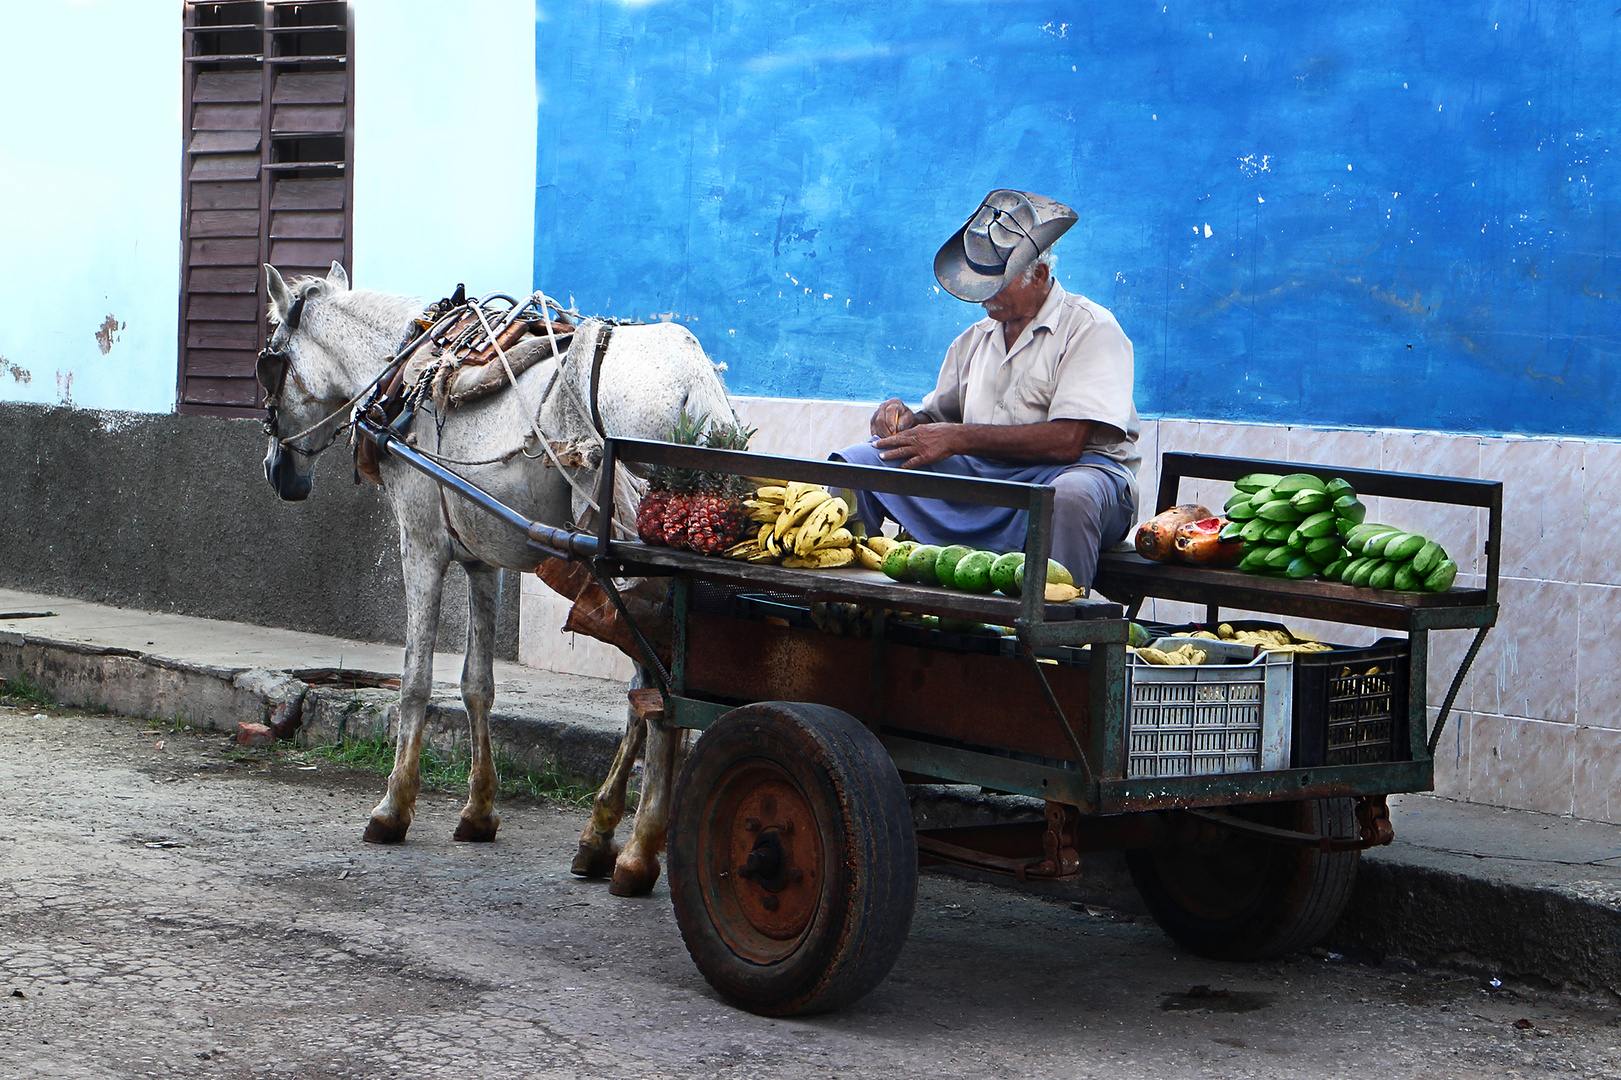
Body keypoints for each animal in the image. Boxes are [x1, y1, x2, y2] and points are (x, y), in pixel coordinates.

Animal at [260, 261, 735, 888]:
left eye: (270, 363)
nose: (275, 470)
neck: (408, 372)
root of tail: (694, 375)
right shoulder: (484, 559)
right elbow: (476, 685)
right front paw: (479, 810)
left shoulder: (422, 545)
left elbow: (415, 681)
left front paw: (393, 808)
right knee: (654, 698)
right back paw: (605, 837)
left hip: (634, 563)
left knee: (657, 701)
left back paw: (634, 851)